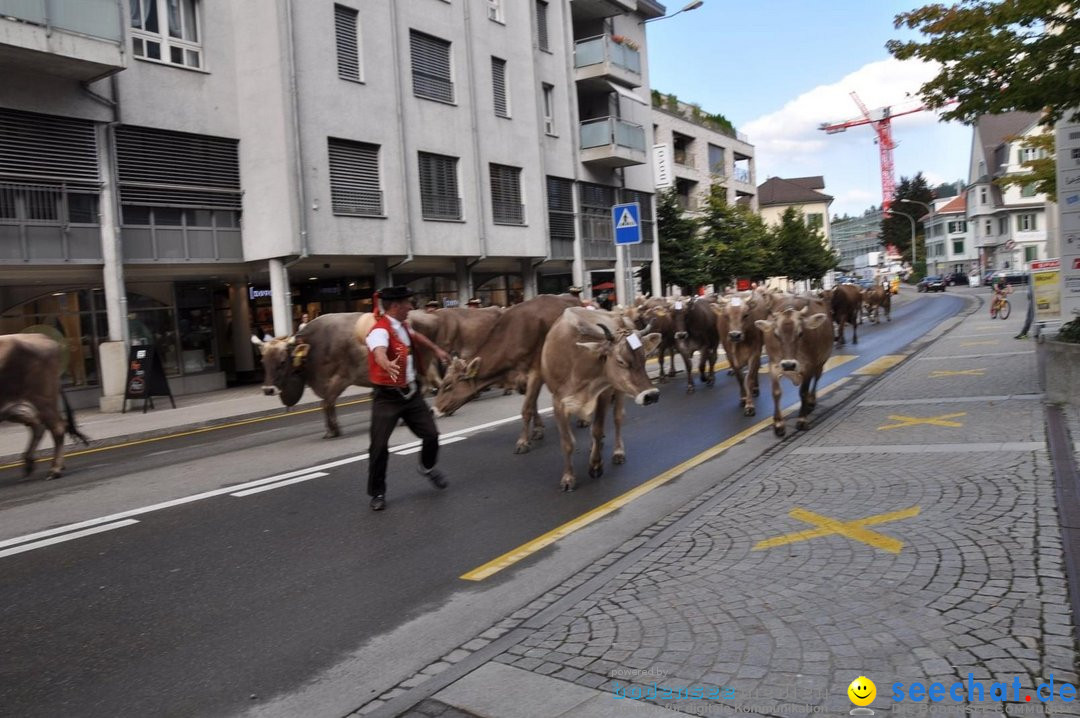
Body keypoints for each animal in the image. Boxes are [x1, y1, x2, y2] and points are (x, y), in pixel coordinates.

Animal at [0, 332, 89, 479]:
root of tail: (42, 337)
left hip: (42, 398)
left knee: (56, 427)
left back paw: (54, 469)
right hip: (19, 407)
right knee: (38, 424)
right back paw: (31, 464)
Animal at [432, 293, 578, 451]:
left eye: (448, 385)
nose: (433, 410)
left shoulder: (536, 372)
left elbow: (527, 408)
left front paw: (522, 442)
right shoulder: (521, 379)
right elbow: (532, 405)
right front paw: (538, 429)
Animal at [544, 304, 660, 490]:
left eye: (644, 358)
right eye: (620, 361)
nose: (652, 395)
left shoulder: (603, 394)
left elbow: (598, 430)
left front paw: (596, 465)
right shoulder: (558, 401)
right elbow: (567, 442)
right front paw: (568, 478)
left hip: (618, 390)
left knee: (618, 418)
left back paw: (618, 452)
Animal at [751, 297, 833, 434]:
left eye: (800, 333)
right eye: (776, 334)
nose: (789, 364)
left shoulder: (808, 366)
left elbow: (803, 392)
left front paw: (802, 419)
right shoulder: (774, 365)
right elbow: (776, 392)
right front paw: (778, 423)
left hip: (821, 361)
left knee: (816, 378)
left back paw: (811, 401)